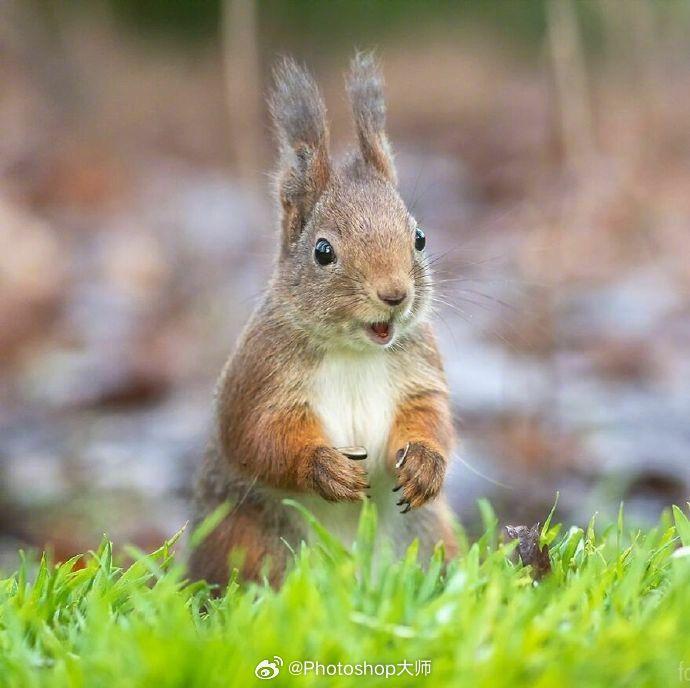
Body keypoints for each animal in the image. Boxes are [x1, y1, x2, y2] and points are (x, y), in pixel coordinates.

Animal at [188, 52, 456, 584]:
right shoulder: (261, 374)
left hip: (428, 534)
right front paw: (325, 469)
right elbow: (256, 436)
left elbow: (432, 415)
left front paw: (424, 465)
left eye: (419, 238)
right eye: (323, 251)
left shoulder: (420, 368)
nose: (395, 294)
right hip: (250, 542)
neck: (355, 350)